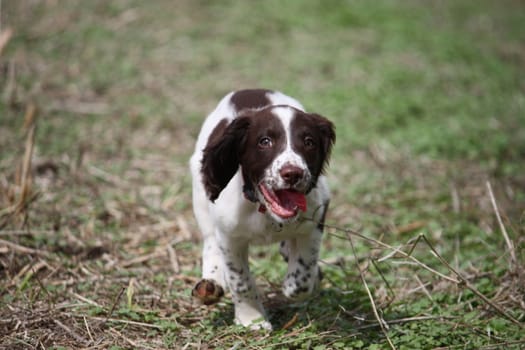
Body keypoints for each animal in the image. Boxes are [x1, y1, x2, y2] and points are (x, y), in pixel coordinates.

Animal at [190, 89, 334, 330]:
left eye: (309, 142)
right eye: (264, 141)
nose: (292, 173)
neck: (264, 211)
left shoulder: (315, 219)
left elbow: (303, 274)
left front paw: (297, 284)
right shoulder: (230, 236)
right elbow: (240, 281)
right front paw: (252, 319)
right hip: (201, 197)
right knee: (210, 241)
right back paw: (211, 283)